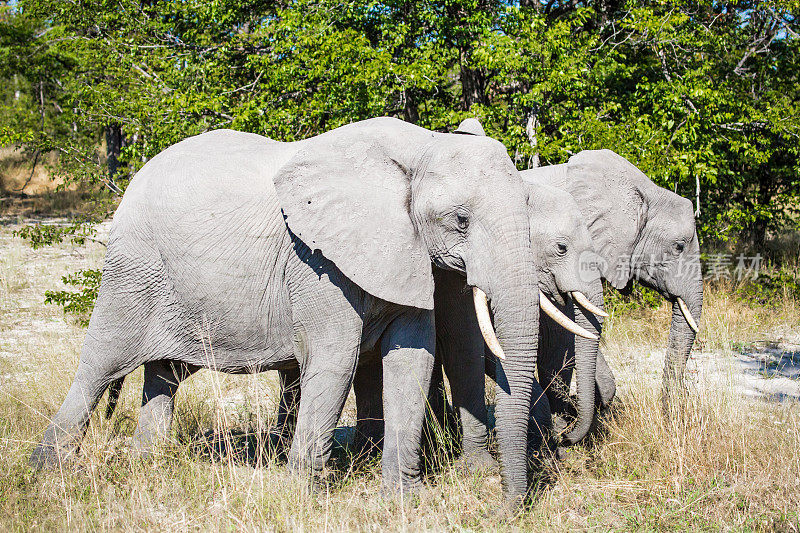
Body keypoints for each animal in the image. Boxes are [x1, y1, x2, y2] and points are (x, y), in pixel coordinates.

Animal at [29, 117, 588, 502]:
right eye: (461, 220)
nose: (508, 506)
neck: (418, 146)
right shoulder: (317, 264)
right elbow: (337, 359)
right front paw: (304, 497)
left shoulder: (407, 254)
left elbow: (414, 358)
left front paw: (402, 500)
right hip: (131, 270)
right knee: (98, 367)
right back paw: (44, 476)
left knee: (163, 377)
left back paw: (150, 467)